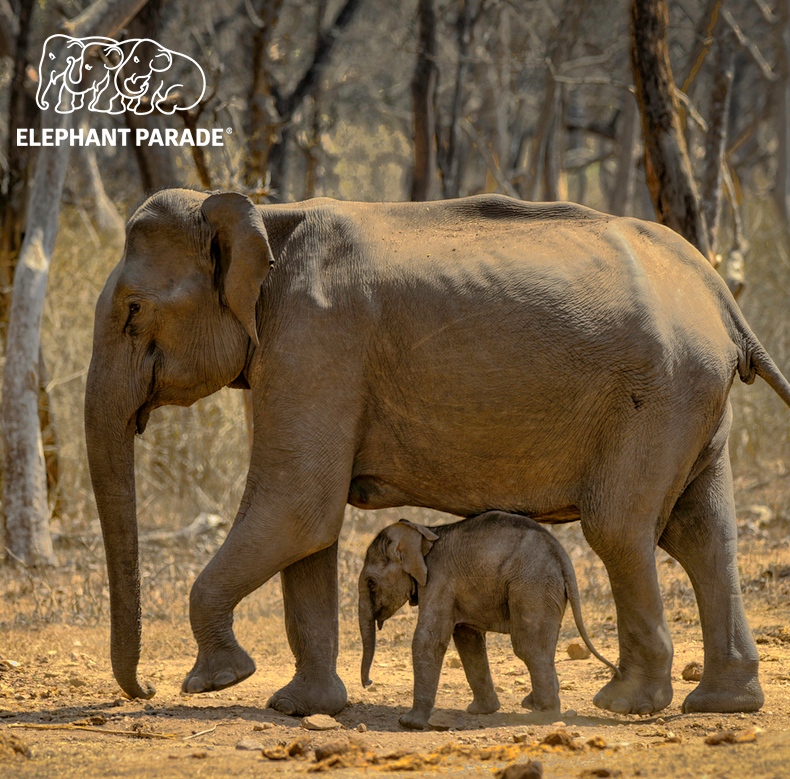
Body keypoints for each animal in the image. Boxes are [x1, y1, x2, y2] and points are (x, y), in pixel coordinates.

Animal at [358, 514, 618, 730]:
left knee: (529, 647)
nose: (369, 683)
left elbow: (428, 640)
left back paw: (543, 714)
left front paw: (409, 723)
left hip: (533, 586)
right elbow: (468, 640)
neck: (422, 531)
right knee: (542, 646)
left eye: (371, 582)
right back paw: (532, 704)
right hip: (547, 590)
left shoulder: (439, 581)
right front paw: (481, 711)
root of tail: (563, 556)